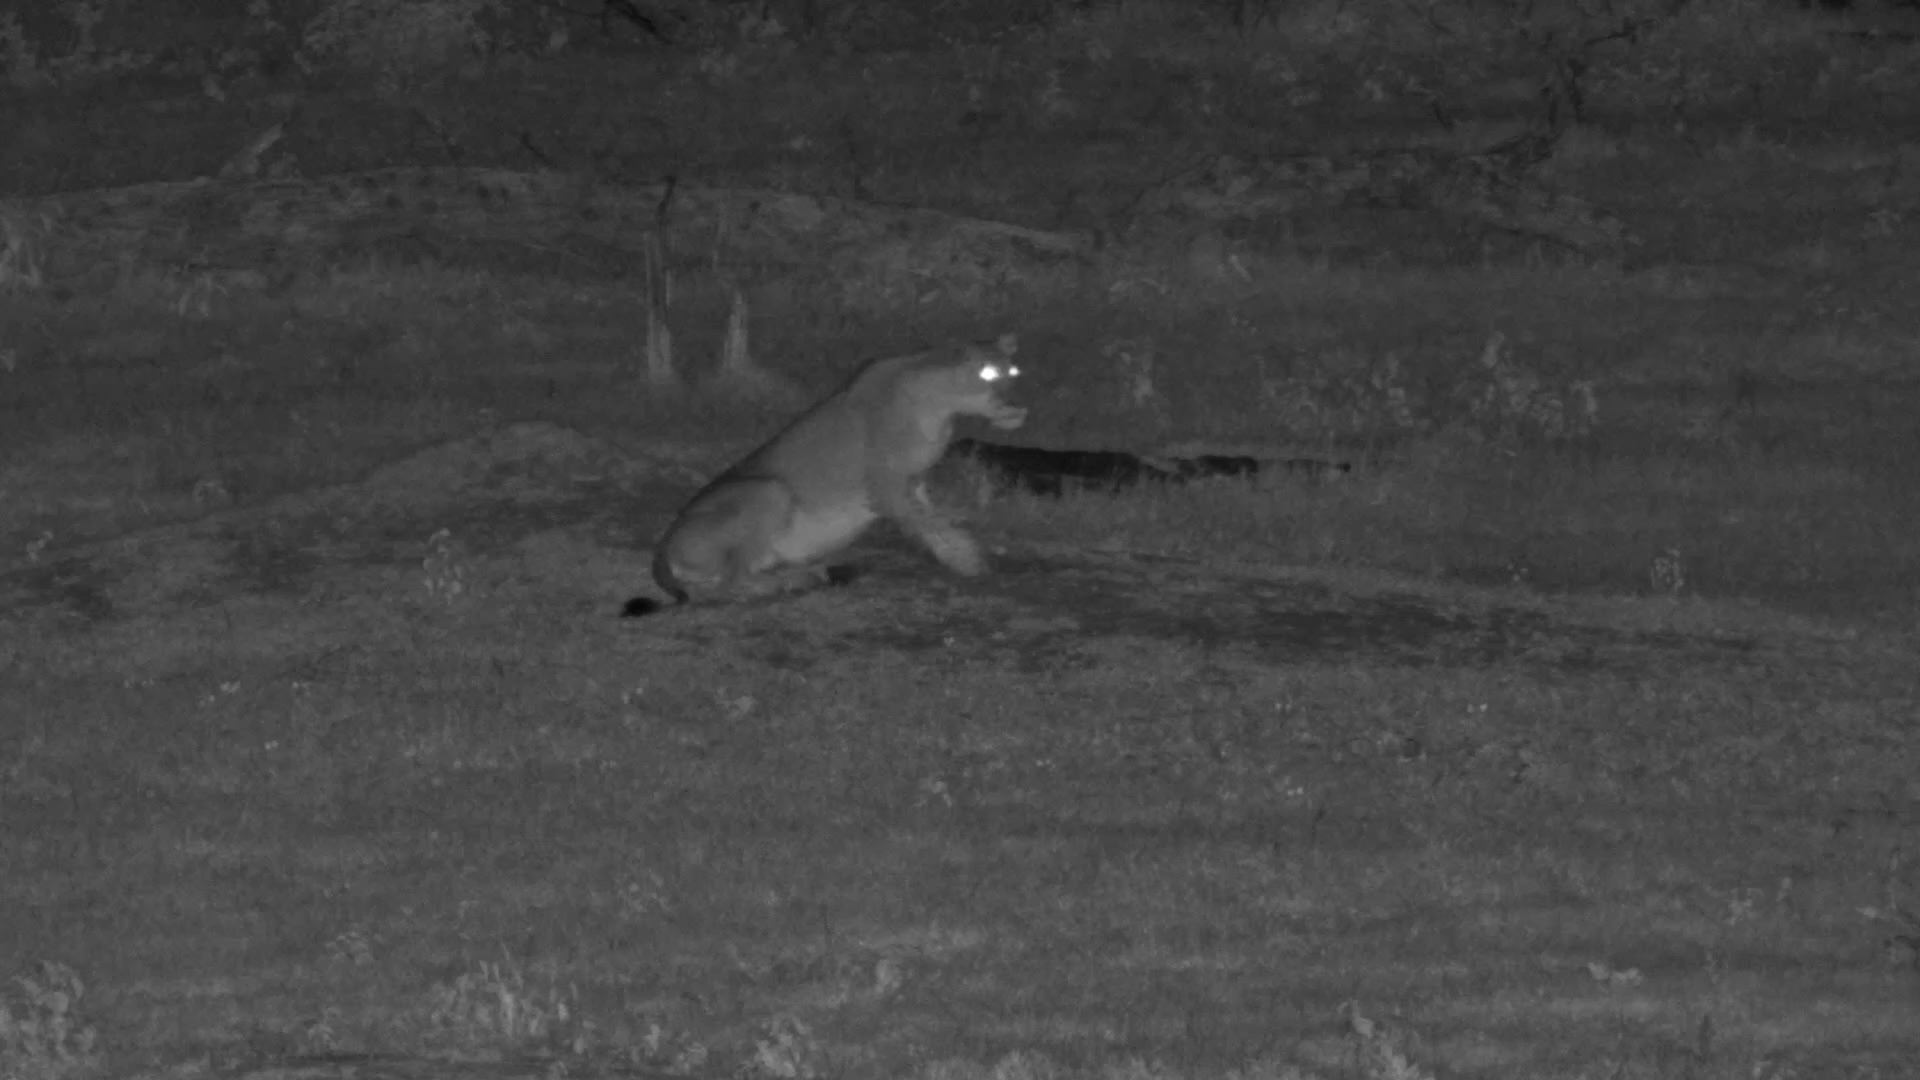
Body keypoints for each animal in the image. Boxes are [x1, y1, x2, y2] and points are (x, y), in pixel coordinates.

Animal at [624, 334, 1026, 616]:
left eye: (1012, 372)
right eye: (987, 373)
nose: (1017, 404)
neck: (941, 409)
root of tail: (662, 546)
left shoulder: (914, 482)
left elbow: (937, 520)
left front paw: (968, 555)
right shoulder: (885, 485)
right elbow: (932, 525)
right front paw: (968, 563)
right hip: (769, 490)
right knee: (733, 581)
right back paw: (793, 580)